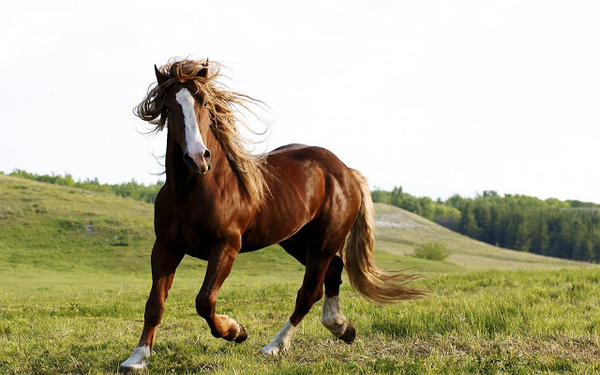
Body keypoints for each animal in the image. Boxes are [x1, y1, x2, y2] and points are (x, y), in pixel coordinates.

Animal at [119, 58, 424, 374]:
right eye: (168, 108)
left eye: (204, 102)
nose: (198, 158)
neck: (194, 190)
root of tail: (345, 171)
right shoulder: (165, 247)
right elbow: (155, 304)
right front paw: (137, 358)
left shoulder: (226, 247)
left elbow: (204, 301)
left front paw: (236, 331)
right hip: (297, 241)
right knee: (333, 270)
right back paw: (342, 327)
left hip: (323, 242)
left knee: (309, 292)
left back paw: (275, 346)